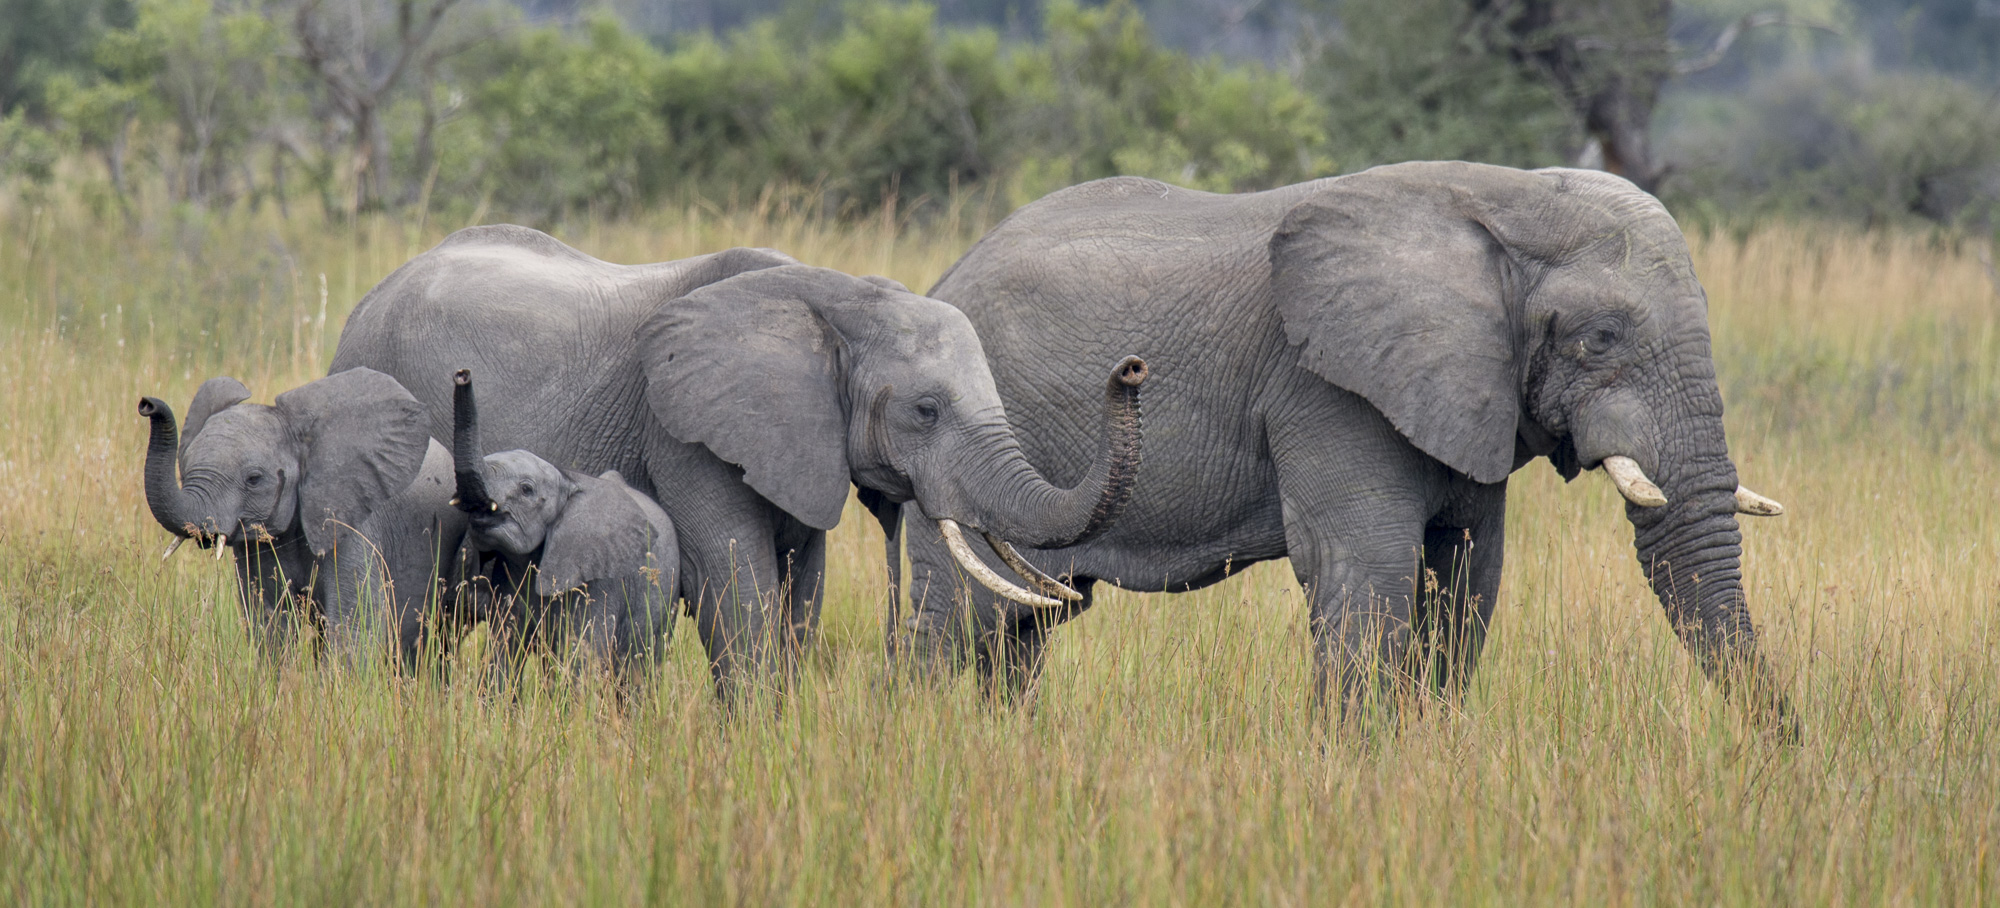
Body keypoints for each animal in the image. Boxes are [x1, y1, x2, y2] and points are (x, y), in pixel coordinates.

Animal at [139, 367, 469, 666]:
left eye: (254, 479)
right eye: (185, 467)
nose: (146, 404)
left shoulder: (350, 525)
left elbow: (353, 626)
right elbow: (270, 626)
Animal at [449, 368, 678, 681]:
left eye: (526, 489)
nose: (462, 374)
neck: (567, 479)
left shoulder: (598, 582)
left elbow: (580, 661)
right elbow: (502, 655)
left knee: (638, 669)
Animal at [898, 161, 1793, 732]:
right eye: (1599, 339)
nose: (1785, 748)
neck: (1507, 198)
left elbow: (1468, 570)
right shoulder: (1325, 388)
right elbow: (1367, 566)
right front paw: (1355, 769)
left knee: (1022, 626)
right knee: (958, 616)